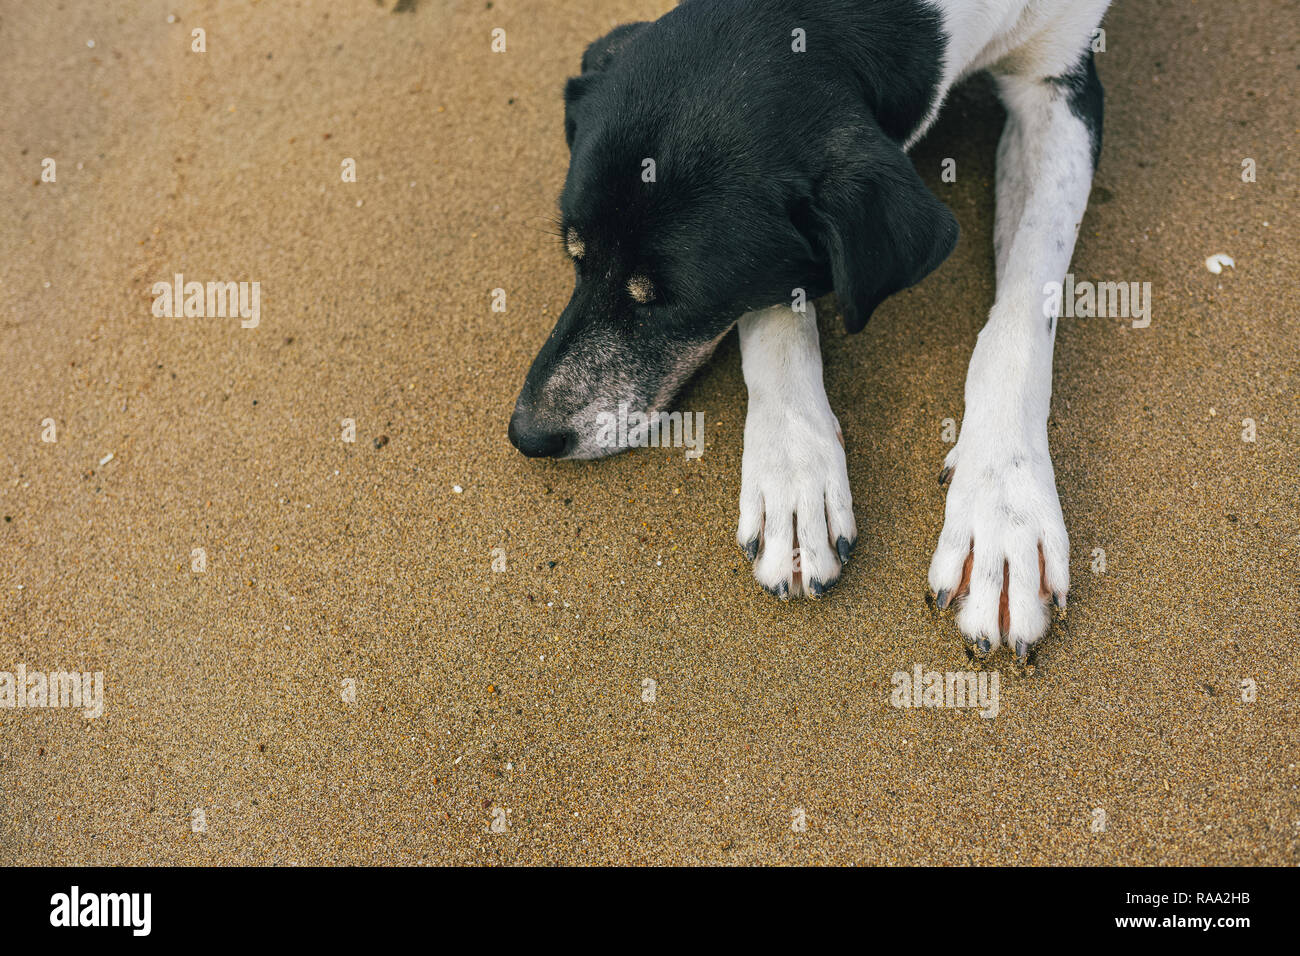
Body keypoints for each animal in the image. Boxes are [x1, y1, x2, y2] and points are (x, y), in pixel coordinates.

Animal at [506, 0, 1107, 665]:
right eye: (575, 257)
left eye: (673, 302)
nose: (529, 433)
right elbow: (774, 308)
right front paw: (794, 472)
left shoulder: (1060, 82)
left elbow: (1025, 302)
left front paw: (1005, 506)